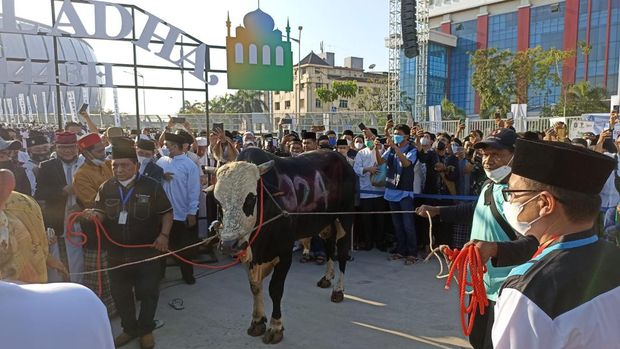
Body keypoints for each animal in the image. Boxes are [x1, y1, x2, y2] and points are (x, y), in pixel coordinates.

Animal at [213, 146, 356, 342]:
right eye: (218, 202)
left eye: (251, 198)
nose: (229, 244)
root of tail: (341, 158)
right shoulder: (249, 255)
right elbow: (254, 287)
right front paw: (257, 321)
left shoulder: (284, 251)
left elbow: (275, 289)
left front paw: (275, 327)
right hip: (325, 223)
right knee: (329, 248)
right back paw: (327, 278)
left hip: (345, 218)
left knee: (341, 253)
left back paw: (338, 290)